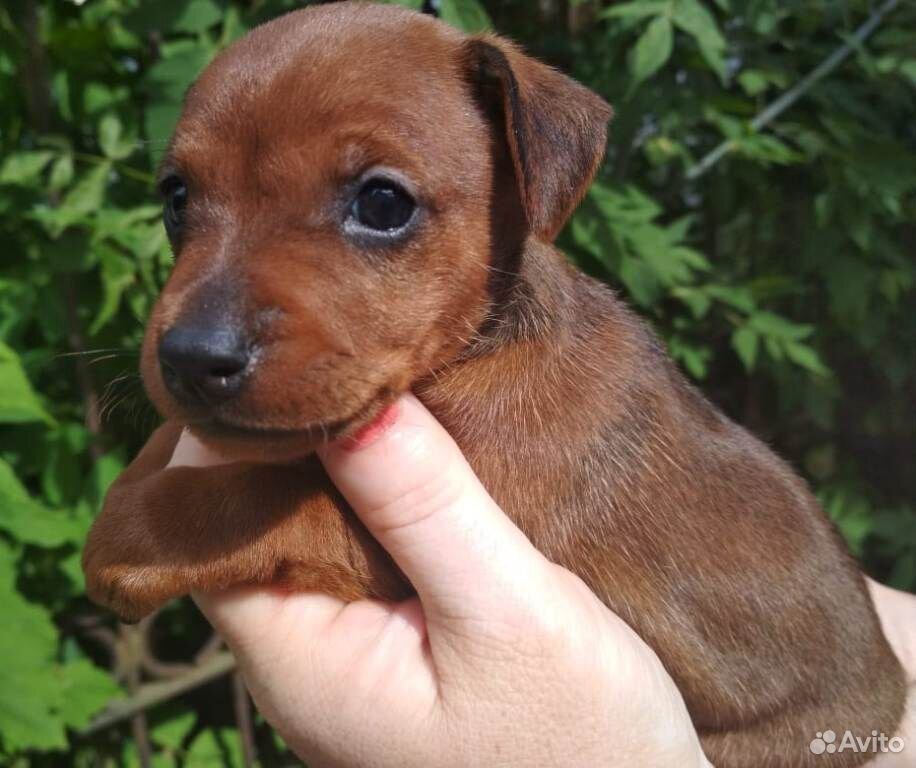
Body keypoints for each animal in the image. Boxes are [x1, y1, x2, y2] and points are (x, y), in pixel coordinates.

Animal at [82, 4, 904, 760]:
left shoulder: (422, 528)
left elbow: (266, 494)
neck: (477, 349)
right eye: (176, 198)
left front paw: (130, 531)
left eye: (382, 202)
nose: (191, 357)